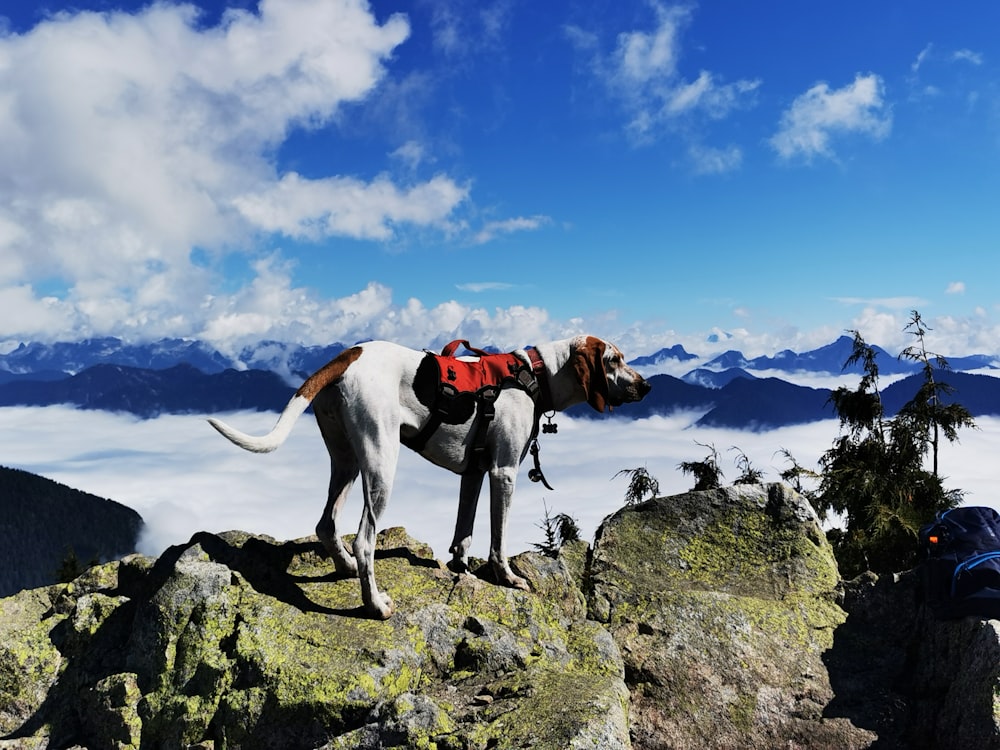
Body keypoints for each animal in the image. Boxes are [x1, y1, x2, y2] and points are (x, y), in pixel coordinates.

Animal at [207, 338, 652, 620]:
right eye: (613, 359)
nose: (646, 385)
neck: (534, 377)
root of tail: (349, 354)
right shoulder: (502, 473)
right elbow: (498, 540)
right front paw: (506, 577)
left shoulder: (474, 474)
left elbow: (464, 532)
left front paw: (460, 567)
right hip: (381, 463)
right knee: (364, 540)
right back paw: (374, 605)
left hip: (346, 460)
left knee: (326, 523)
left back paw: (345, 566)